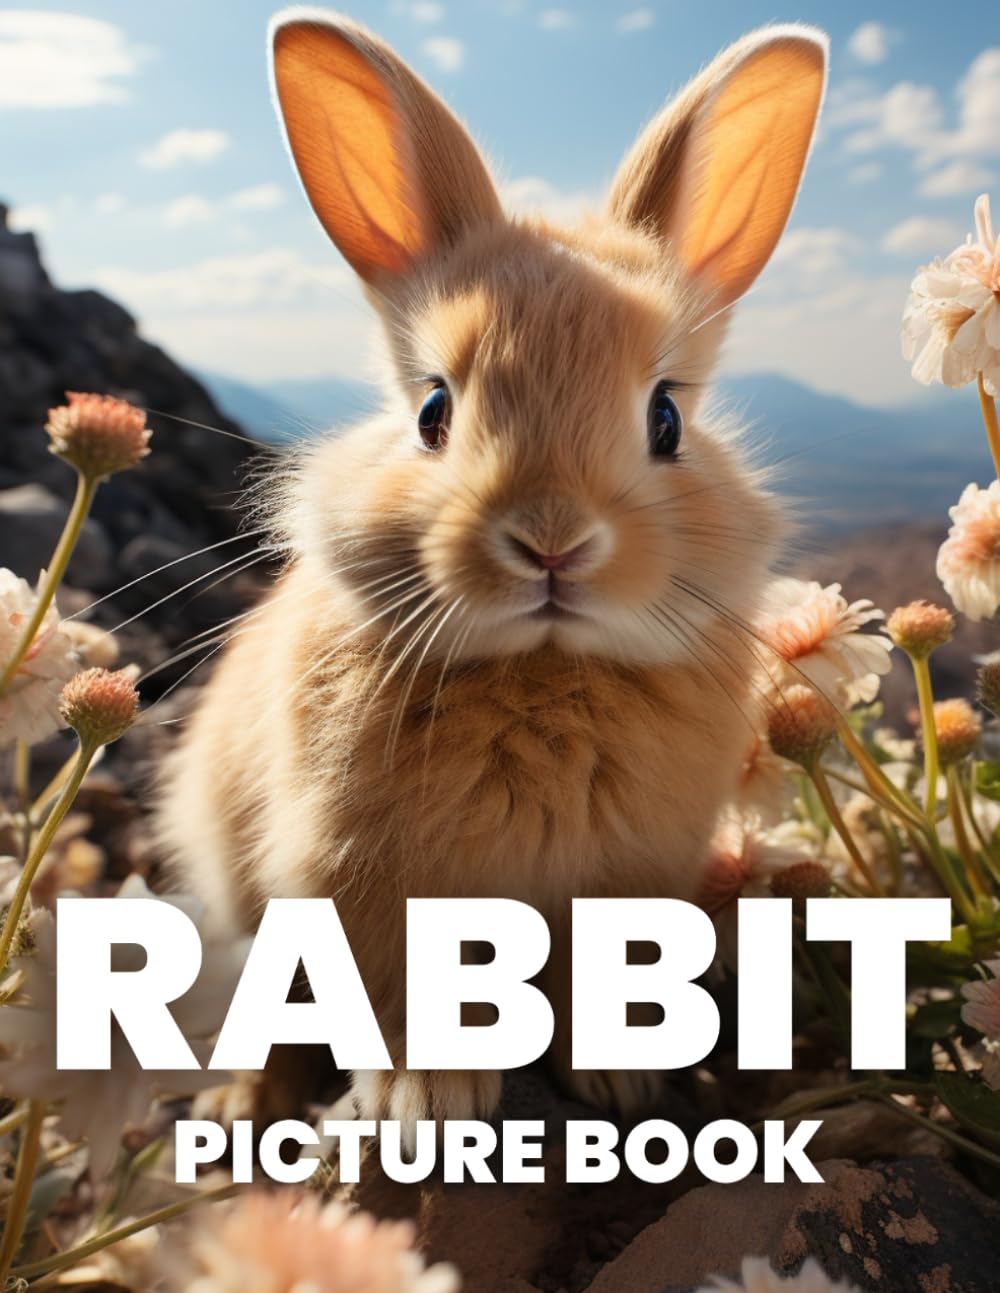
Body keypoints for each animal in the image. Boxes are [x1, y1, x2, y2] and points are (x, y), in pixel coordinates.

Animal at [156, 8, 827, 1129]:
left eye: (666, 418)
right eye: (435, 410)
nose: (553, 540)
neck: (544, 667)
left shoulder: (625, 884)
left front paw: (622, 1075)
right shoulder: (358, 882)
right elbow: (400, 994)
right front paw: (423, 1099)